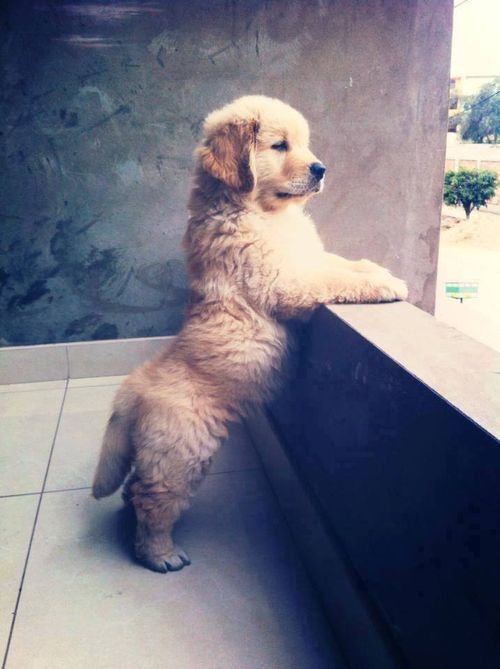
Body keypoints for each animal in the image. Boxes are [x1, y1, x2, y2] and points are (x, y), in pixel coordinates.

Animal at [92, 95, 407, 573]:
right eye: (279, 146)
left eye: (303, 143)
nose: (321, 169)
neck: (261, 211)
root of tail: (133, 390)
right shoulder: (286, 281)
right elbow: (332, 279)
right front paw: (387, 285)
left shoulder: (307, 257)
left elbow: (339, 264)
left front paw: (375, 268)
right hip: (182, 452)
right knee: (153, 498)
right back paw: (159, 553)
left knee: (135, 488)